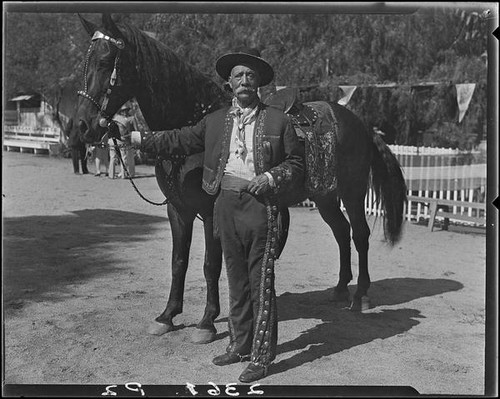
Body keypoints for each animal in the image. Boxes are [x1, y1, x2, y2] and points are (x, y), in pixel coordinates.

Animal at [77, 14, 406, 344]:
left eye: (105, 61)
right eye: (85, 62)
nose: (83, 125)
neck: (190, 126)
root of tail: (360, 124)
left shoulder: (210, 212)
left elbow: (210, 265)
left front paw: (206, 323)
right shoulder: (178, 210)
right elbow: (178, 262)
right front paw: (167, 316)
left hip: (353, 193)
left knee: (359, 234)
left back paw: (361, 296)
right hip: (325, 196)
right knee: (341, 232)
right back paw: (339, 289)